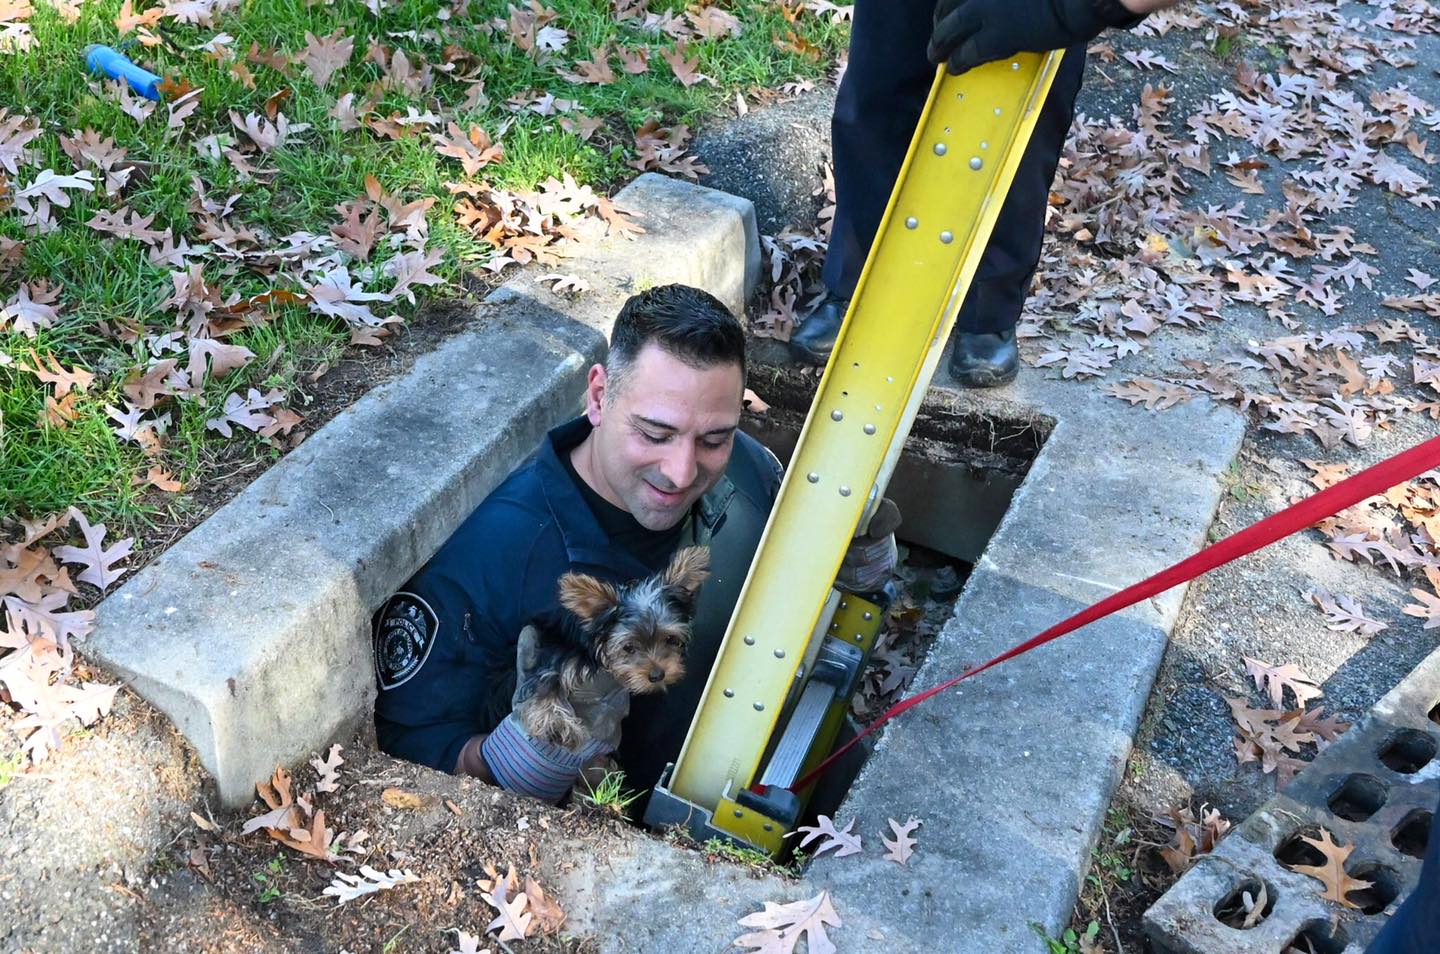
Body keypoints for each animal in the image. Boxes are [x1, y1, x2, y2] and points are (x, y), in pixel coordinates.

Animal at [515, 544, 711, 755]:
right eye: (628, 647)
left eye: (670, 639)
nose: (657, 675)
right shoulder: (560, 654)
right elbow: (547, 680)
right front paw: (556, 724)